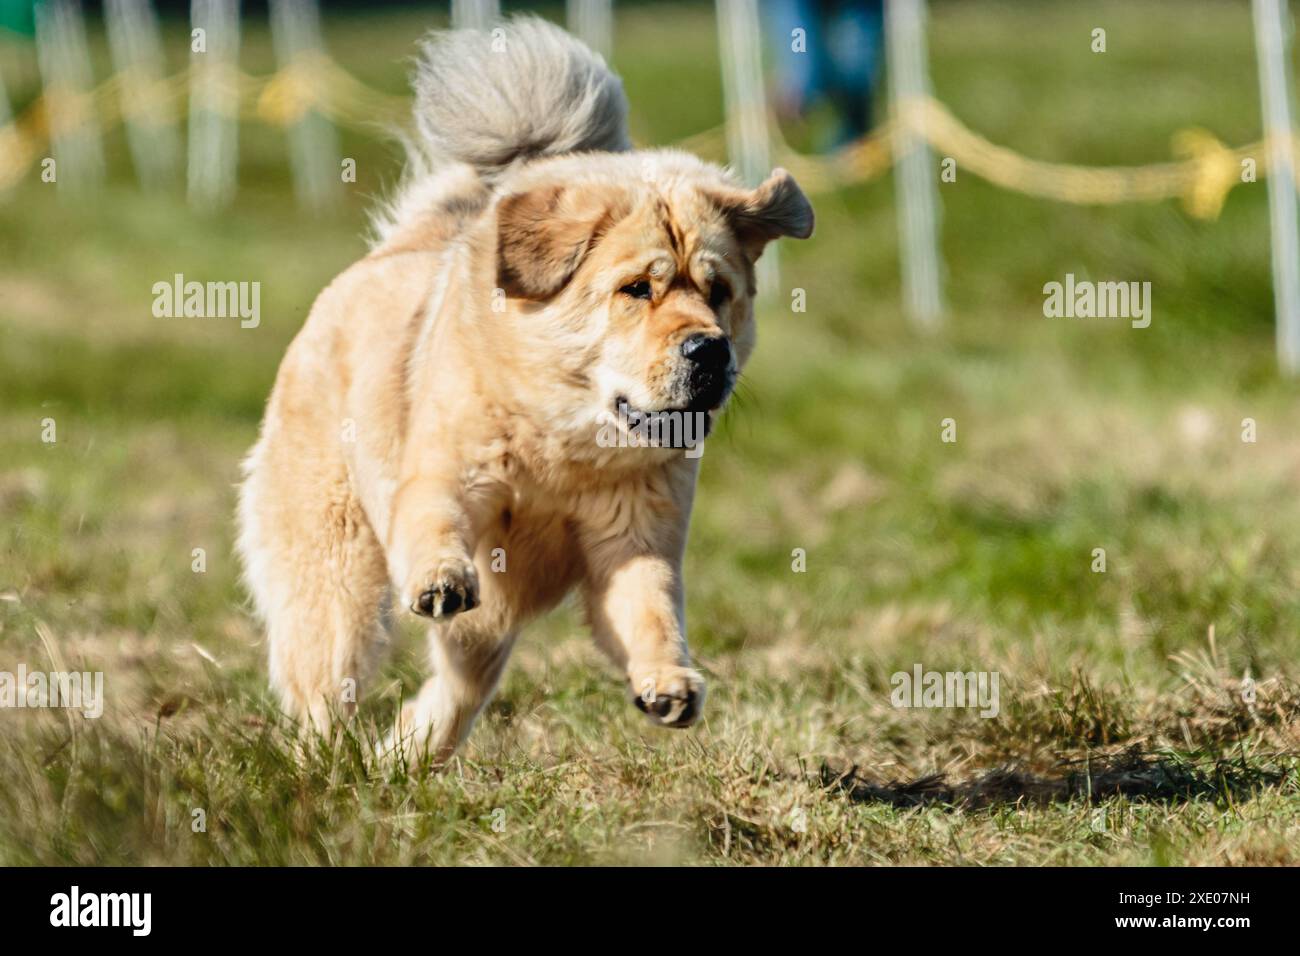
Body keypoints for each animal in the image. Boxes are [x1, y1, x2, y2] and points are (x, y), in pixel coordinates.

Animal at [235, 16, 811, 764]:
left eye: (719, 292)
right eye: (637, 289)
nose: (708, 349)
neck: (562, 447)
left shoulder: (635, 539)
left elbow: (652, 610)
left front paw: (670, 683)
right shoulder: (445, 476)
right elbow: (436, 521)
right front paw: (441, 578)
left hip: (479, 635)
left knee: (458, 691)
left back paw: (403, 760)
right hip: (336, 577)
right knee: (324, 684)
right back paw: (328, 765)